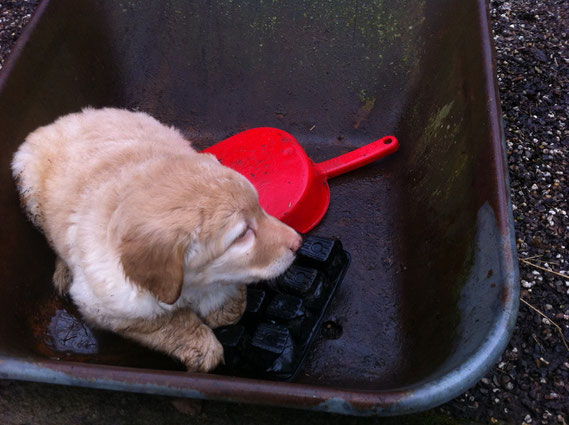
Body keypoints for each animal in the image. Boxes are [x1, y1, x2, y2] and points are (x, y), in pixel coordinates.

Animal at [11, 108, 302, 372]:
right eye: (242, 235)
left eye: (261, 207)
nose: (298, 243)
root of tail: (65, 119)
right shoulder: (104, 305)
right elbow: (164, 321)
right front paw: (201, 345)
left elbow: (230, 306)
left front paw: (224, 304)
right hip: (31, 191)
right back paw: (63, 271)